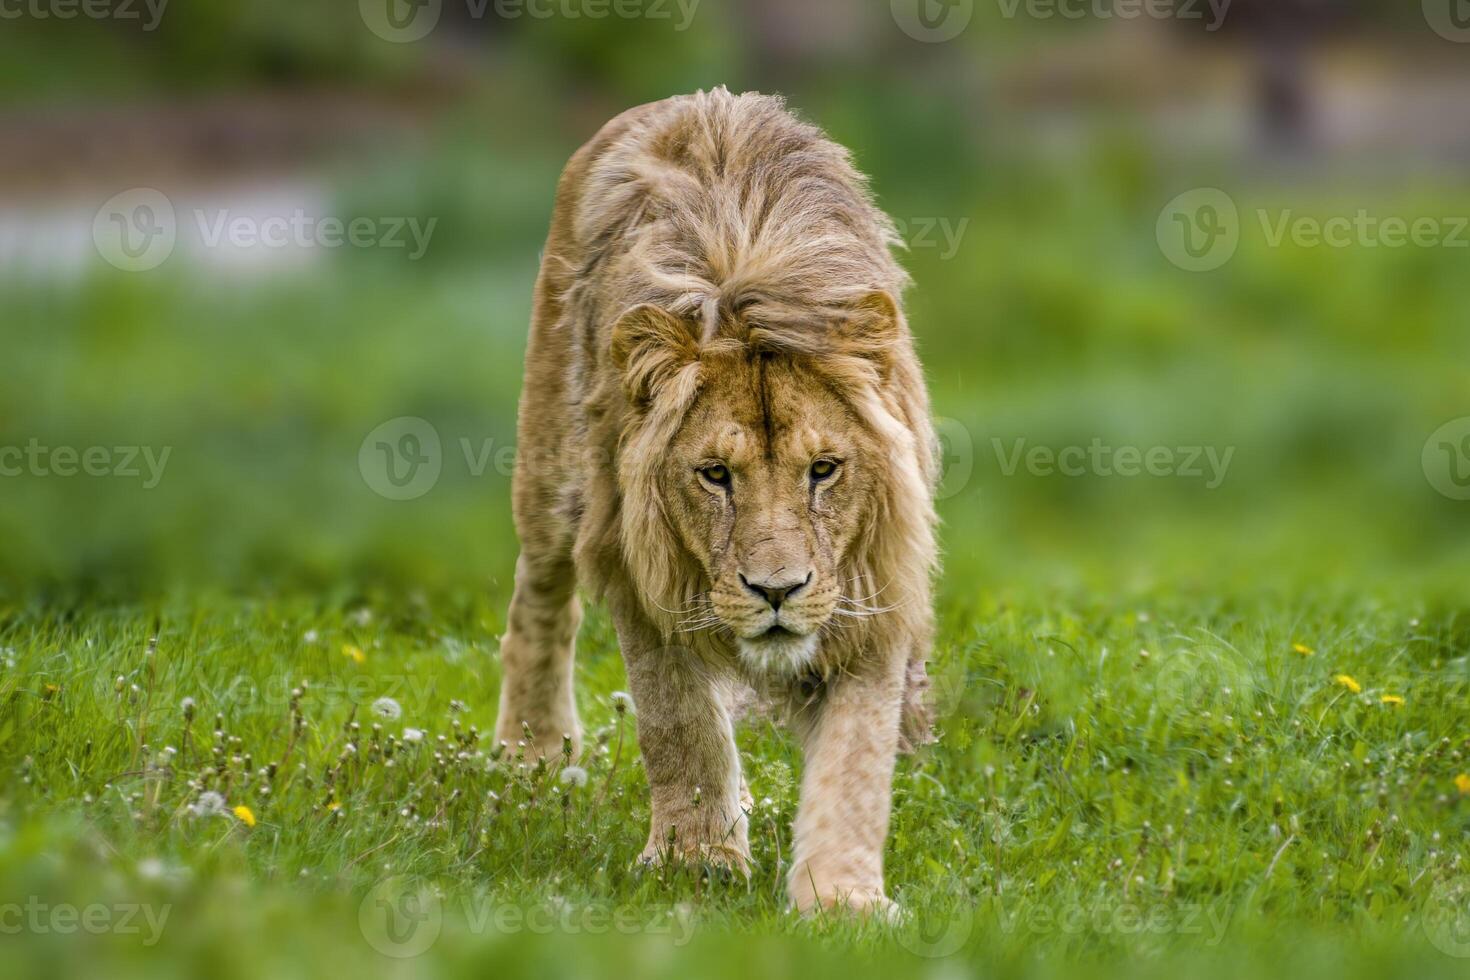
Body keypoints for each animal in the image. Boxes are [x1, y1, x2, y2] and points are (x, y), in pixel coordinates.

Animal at [493, 88, 940, 916]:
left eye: (824, 470)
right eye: (714, 475)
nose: (776, 591)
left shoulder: (872, 585)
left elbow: (856, 762)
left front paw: (843, 899)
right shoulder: (637, 569)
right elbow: (680, 725)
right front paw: (695, 861)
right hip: (552, 469)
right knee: (539, 596)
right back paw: (529, 750)